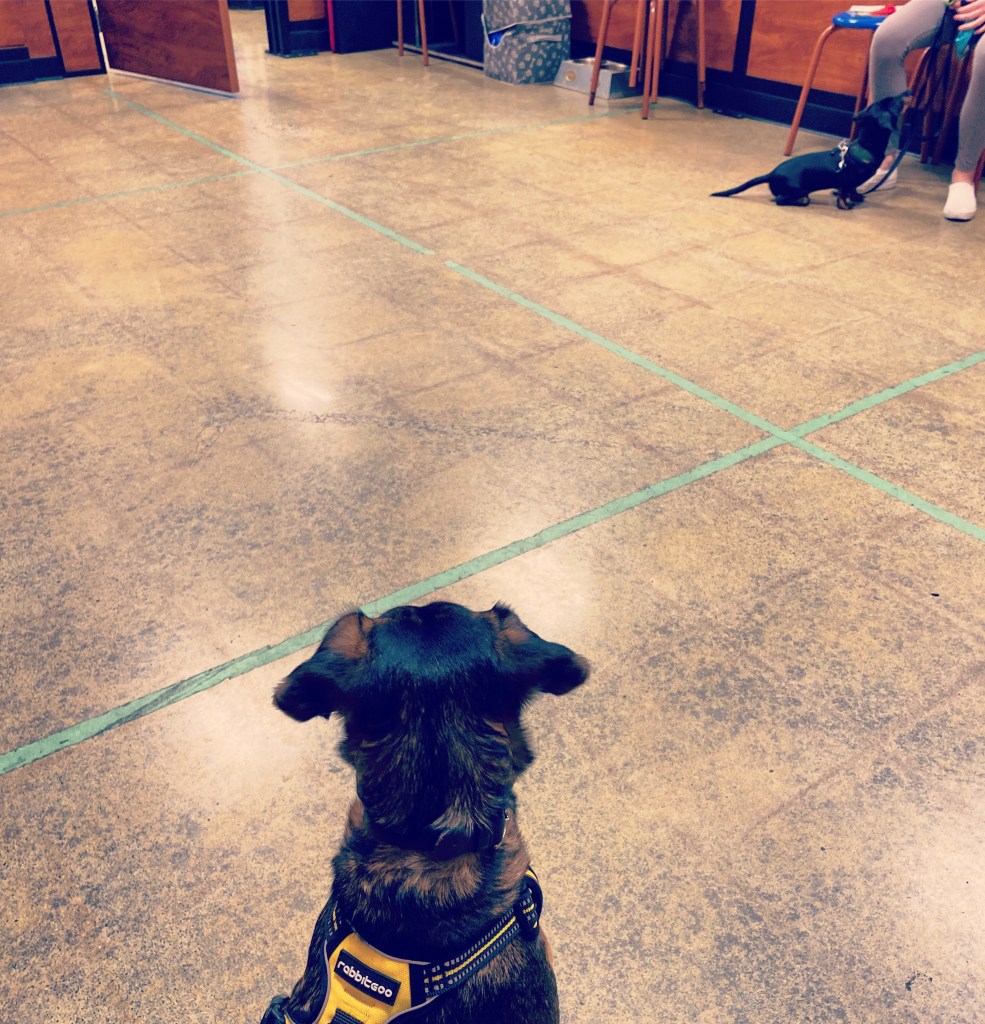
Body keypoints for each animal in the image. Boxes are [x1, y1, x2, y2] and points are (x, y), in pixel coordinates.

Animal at [711, 92, 907, 208]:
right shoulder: (846, 180)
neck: (865, 146)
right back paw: (801, 200)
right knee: (781, 199)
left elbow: (853, 191)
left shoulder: (851, 184)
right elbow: (844, 194)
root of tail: (771, 173)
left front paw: (857, 198)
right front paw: (846, 205)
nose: (907, 93)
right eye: (893, 102)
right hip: (797, 188)